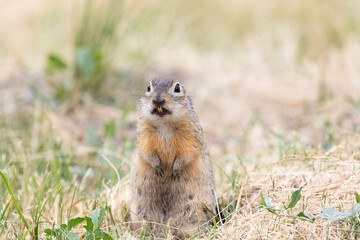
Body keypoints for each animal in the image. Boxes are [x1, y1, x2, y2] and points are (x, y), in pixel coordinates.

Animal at [131, 78, 217, 238]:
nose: (158, 100)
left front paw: (175, 170)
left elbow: (188, 152)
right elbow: (146, 151)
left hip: (194, 213)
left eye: (177, 88)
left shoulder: (190, 134)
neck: (165, 124)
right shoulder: (144, 134)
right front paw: (158, 167)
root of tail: (165, 227)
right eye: (148, 87)